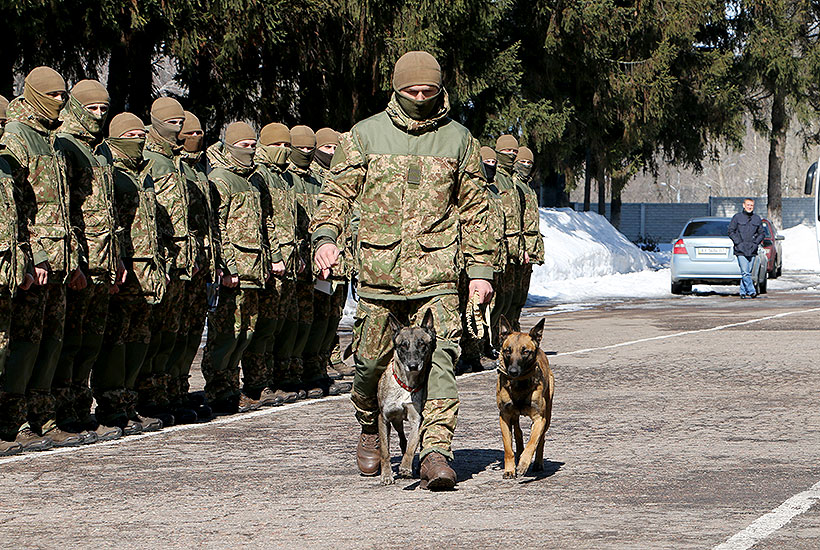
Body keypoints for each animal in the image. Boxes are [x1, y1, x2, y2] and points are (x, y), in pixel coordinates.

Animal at [496, 316, 556, 480]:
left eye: (525, 352)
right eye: (507, 350)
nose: (513, 371)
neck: (519, 385)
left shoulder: (539, 418)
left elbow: (533, 442)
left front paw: (523, 464)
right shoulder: (504, 416)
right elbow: (508, 447)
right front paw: (509, 469)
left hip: (548, 415)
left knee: (541, 439)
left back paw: (537, 463)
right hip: (514, 416)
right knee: (518, 432)